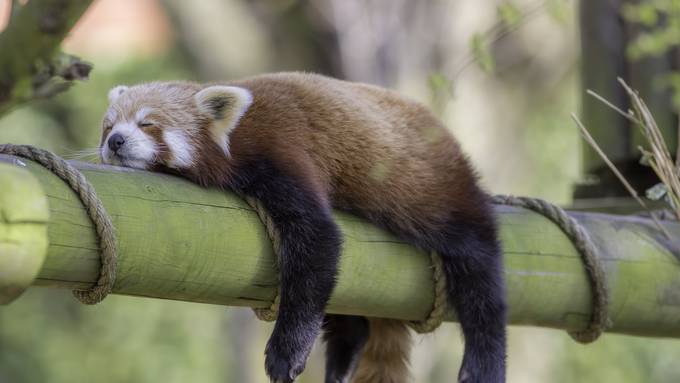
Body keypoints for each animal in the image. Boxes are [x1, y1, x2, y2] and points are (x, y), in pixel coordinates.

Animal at [98, 73, 508, 383]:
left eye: (148, 123)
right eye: (108, 126)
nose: (115, 141)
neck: (238, 133)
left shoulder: (283, 148)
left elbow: (317, 242)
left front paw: (285, 353)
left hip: (435, 186)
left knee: (477, 263)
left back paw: (485, 359)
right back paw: (343, 357)